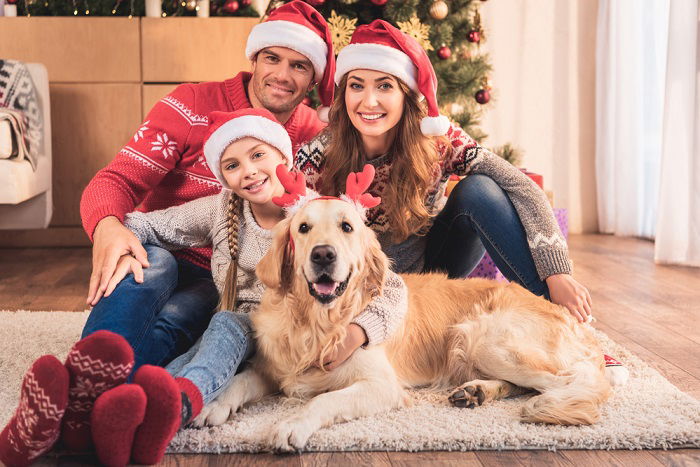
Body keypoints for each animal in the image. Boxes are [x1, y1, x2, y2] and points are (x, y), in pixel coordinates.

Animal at [194, 198, 608, 454]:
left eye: (347, 227)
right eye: (303, 228)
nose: (323, 255)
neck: (317, 323)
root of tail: (565, 313)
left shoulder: (382, 385)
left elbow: (325, 398)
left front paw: (291, 424)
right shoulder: (271, 367)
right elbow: (239, 380)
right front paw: (211, 407)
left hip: (485, 338)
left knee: (571, 381)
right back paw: (475, 391)